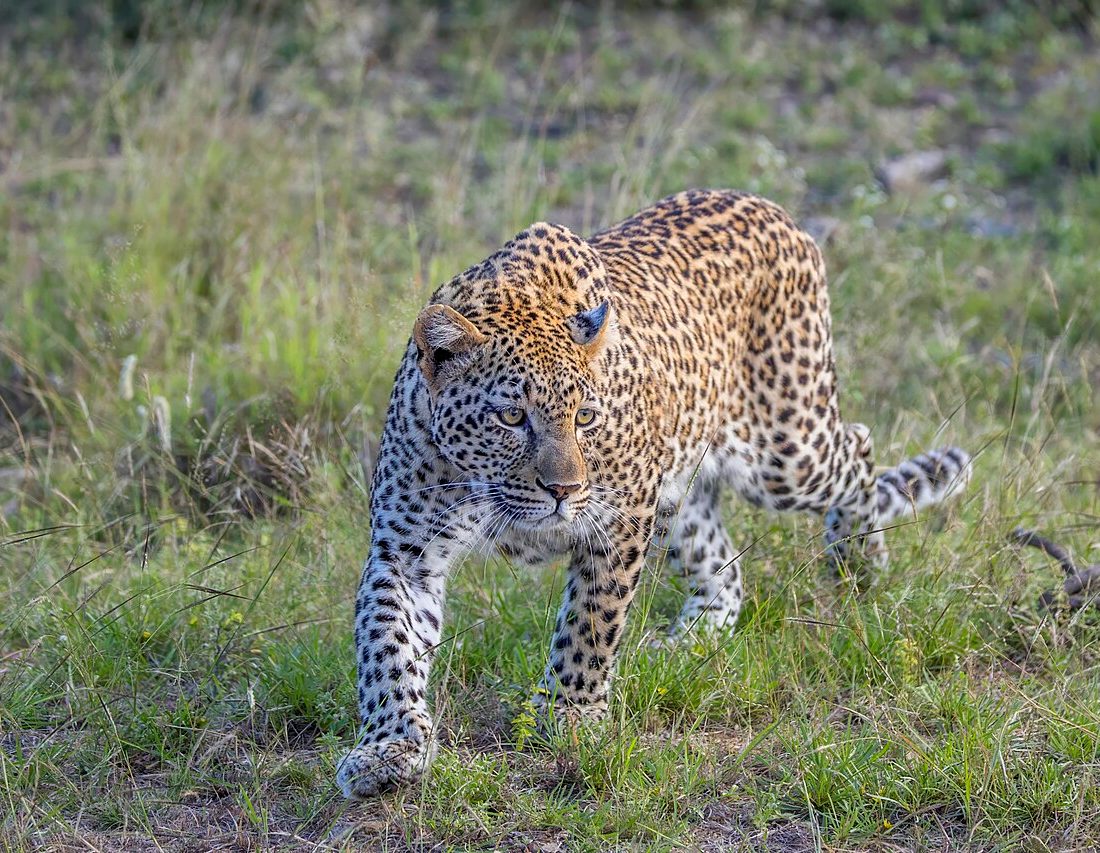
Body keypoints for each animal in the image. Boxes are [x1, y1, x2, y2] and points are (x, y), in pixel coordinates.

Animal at [337, 189, 972, 798]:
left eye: (586, 417)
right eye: (512, 416)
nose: (564, 489)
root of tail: (774, 210)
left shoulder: (618, 519)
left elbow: (590, 623)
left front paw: (568, 714)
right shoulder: (405, 552)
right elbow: (387, 645)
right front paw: (389, 748)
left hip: (785, 451)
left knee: (858, 444)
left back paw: (858, 561)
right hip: (681, 493)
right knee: (724, 572)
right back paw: (684, 644)